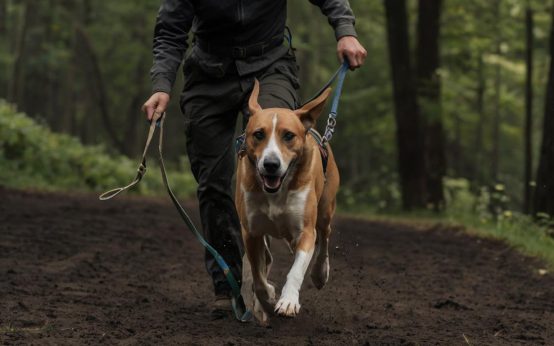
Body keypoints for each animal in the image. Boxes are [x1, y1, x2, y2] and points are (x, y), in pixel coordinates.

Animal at [235, 79, 338, 324]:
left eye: (289, 135)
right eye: (258, 134)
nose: (271, 164)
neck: (276, 191)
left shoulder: (305, 231)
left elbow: (297, 269)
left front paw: (289, 300)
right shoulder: (251, 232)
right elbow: (258, 276)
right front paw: (267, 298)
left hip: (325, 210)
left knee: (324, 237)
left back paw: (320, 271)